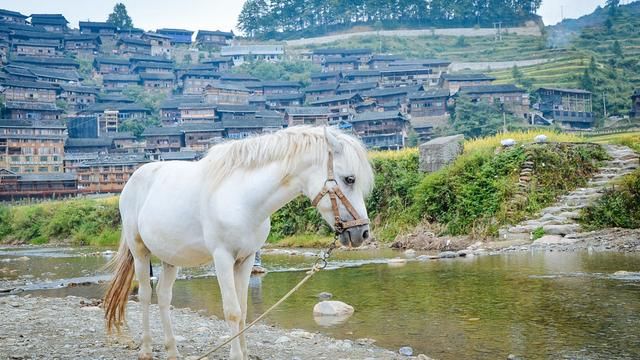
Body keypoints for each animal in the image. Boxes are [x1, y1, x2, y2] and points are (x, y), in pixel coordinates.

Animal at [102, 126, 372, 360]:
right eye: (349, 179)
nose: (363, 233)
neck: (242, 198)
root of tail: (132, 181)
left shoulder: (246, 259)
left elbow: (243, 311)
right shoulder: (222, 258)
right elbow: (232, 312)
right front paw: (235, 355)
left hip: (171, 258)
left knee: (164, 296)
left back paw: (172, 351)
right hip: (140, 252)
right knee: (145, 295)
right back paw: (147, 350)